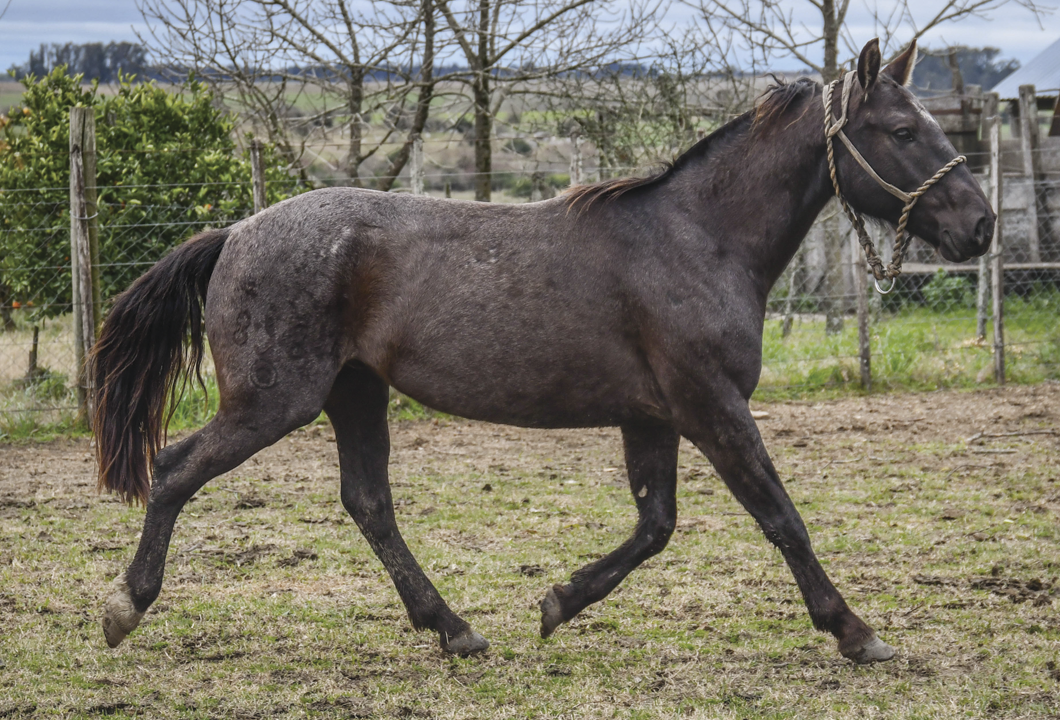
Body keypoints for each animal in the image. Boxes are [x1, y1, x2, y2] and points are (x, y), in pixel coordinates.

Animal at [91, 40, 992, 665]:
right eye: (902, 129)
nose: (980, 226)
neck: (698, 239)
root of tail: (236, 232)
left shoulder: (653, 416)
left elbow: (655, 526)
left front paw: (557, 603)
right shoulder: (712, 406)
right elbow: (781, 518)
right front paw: (857, 632)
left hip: (355, 393)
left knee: (368, 504)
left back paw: (455, 629)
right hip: (274, 401)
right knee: (176, 468)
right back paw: (125, 607)